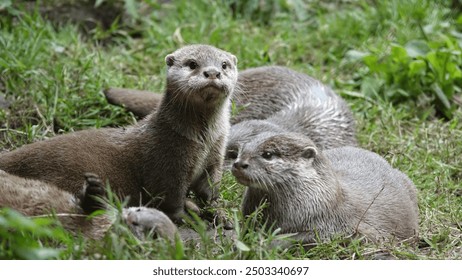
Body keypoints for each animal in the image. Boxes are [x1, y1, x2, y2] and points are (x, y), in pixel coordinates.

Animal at [0, 44, 238, 223]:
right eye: (192, 64)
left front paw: (220, 213)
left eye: (224, 65)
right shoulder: (168, 161)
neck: (201, 142)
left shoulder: (214, 158)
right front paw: (187, 217)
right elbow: (171, 199)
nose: (213, 73)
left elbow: (211, 191)